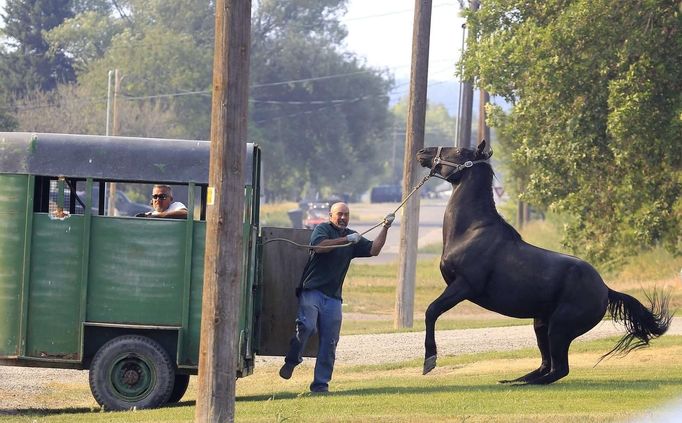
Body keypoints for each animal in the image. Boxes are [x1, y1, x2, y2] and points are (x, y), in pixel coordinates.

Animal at [414, 141, 668, 386]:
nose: (423, 152)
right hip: (541, 325)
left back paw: (521, 384)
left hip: (559, 328)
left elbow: (432, 311)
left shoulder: (463, 286)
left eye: (458, 151)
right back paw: (514, 380)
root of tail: (605, 289)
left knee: (559, 369)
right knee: (546, 366)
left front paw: (429, 361)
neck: (471, 231)